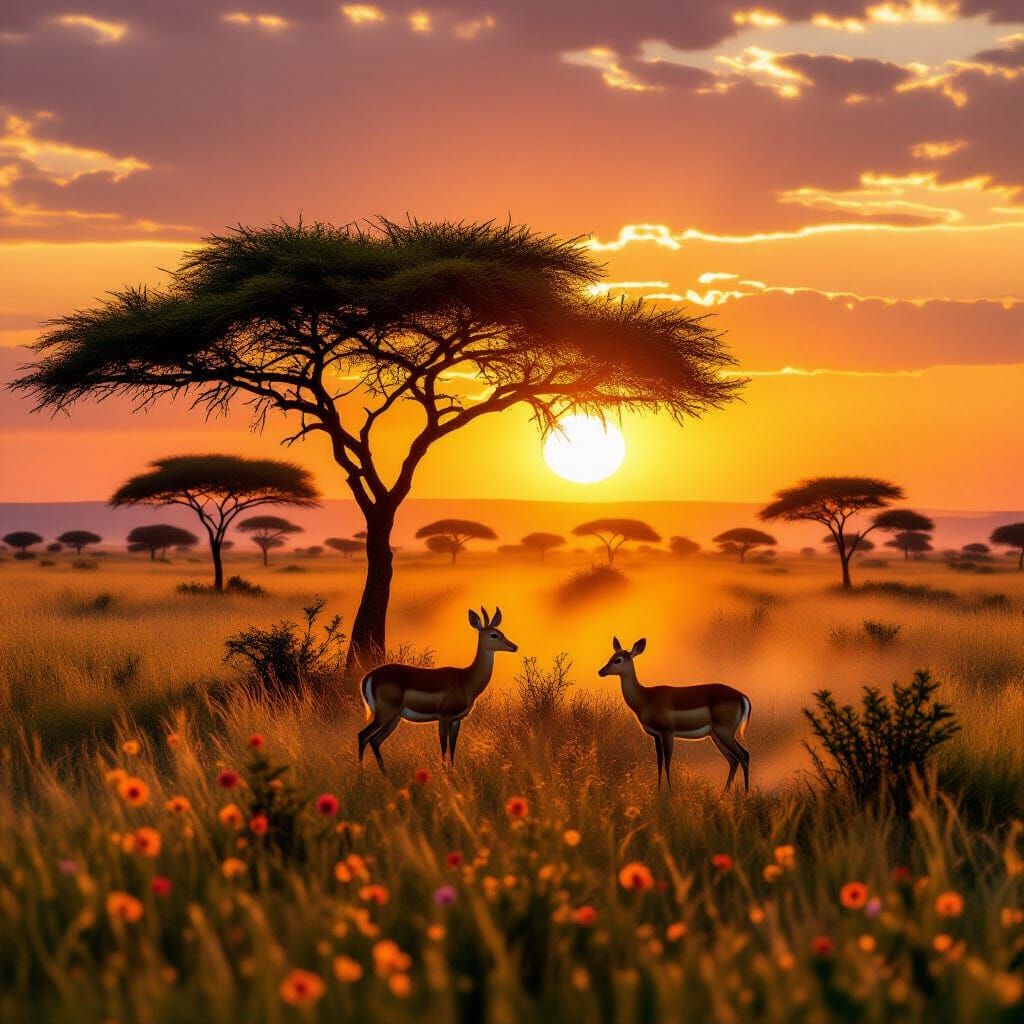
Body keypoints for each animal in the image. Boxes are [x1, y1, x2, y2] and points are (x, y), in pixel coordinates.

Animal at [357, 606, 518, 772]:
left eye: (501, 632)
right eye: (494, 635)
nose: (514, 646)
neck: (466, 679)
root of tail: (368, 677)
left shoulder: (456, 720)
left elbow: (453, 748)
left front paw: (452, 771)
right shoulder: (444, 717)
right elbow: (444, 747)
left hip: (393, 719)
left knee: (374, 741)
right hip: (385, 716)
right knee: (363, 736)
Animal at [598, 637, 751, 791]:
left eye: (618, 660)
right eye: (611, 657)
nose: (601, 672)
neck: (646, 697)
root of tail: (740, 696)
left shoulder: (668, 733)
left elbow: (667, 763)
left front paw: (670, 791)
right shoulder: (656, 736)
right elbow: (659, 764)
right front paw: (659, 790)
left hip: (724, 734)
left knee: (744, 756)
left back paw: (745, 793)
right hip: (716, 736)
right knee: (733, 760)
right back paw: (724, 793)